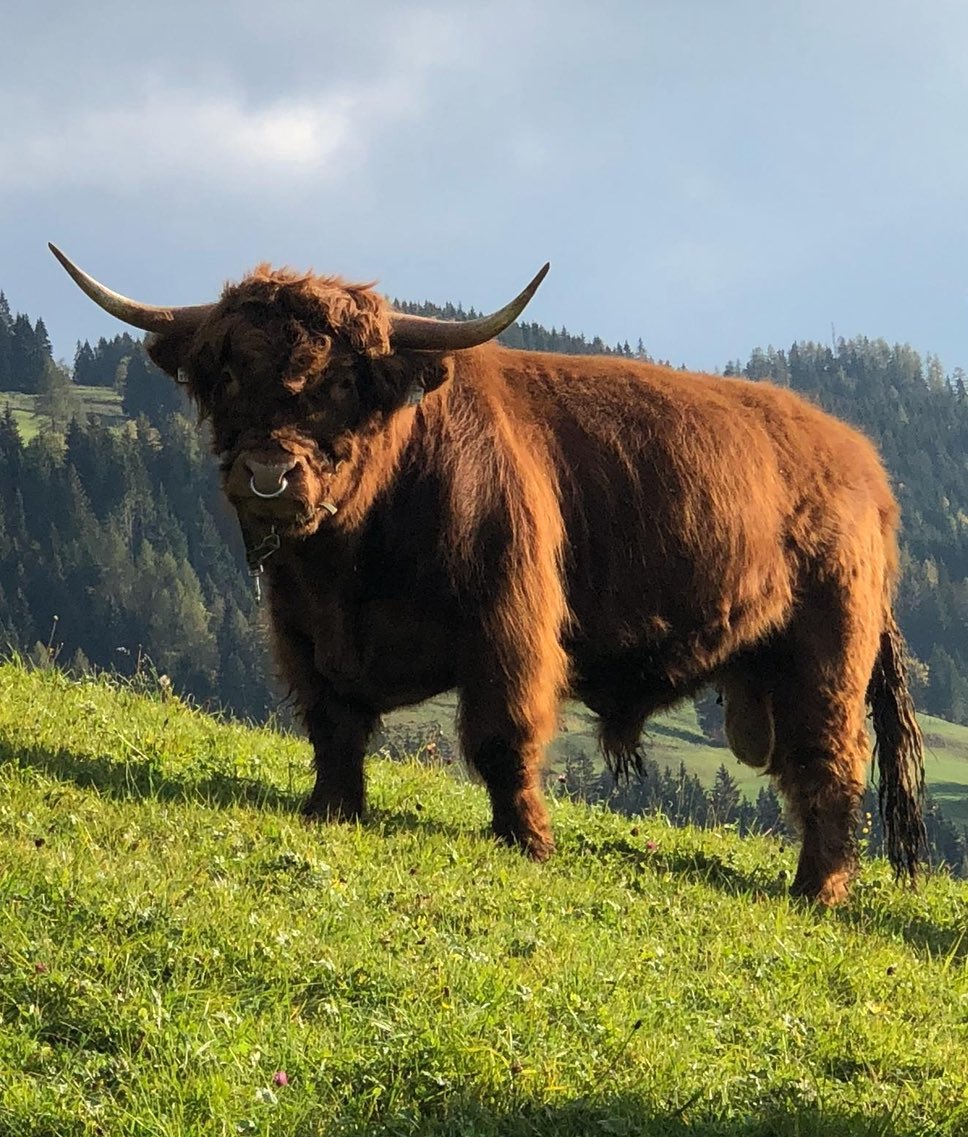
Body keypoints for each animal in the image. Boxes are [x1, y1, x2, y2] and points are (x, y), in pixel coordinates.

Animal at [50, 243, 926, 904]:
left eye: (341, 381)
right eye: (228, 375)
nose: (269, 474)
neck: (351, 567)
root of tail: (864, 465)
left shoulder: (508, 625)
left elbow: (503, 737)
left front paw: (527, 841)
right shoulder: (300, 634)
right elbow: (332, 728)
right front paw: (331, 810)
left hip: (826, 657)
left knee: (829, 765)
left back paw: (817, 890)